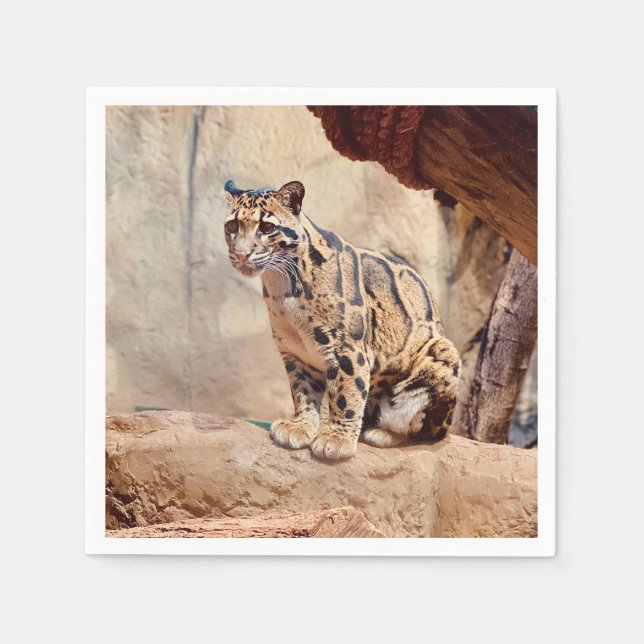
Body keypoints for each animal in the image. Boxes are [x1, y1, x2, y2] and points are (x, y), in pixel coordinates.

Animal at [224, 179, 461, 461]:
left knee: (423, 429)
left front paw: (336, 439)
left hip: (442, 354)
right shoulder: (295, 352)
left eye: (267, 227)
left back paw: (382, 433)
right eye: (232, 226)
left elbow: (346, 393)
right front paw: (301, 426)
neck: (281, 284)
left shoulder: (345, 347)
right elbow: (302, 392)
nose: (241, 254)